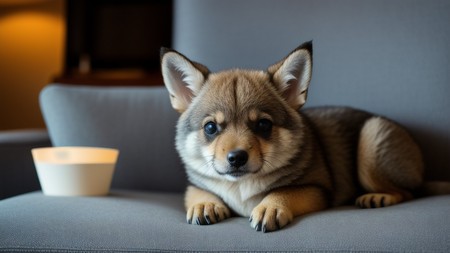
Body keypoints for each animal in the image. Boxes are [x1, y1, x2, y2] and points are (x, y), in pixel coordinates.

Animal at [161, 41, 442, 231]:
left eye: (263, 125)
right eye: (210, 128)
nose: (236, 158)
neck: (240, 186)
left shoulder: (316, 189)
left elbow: (285, 191)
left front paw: (270, 206)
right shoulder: (195, 184)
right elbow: (197, 192)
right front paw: (205, 204)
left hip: (371, 139)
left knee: (408, 192)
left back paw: (379, 197)